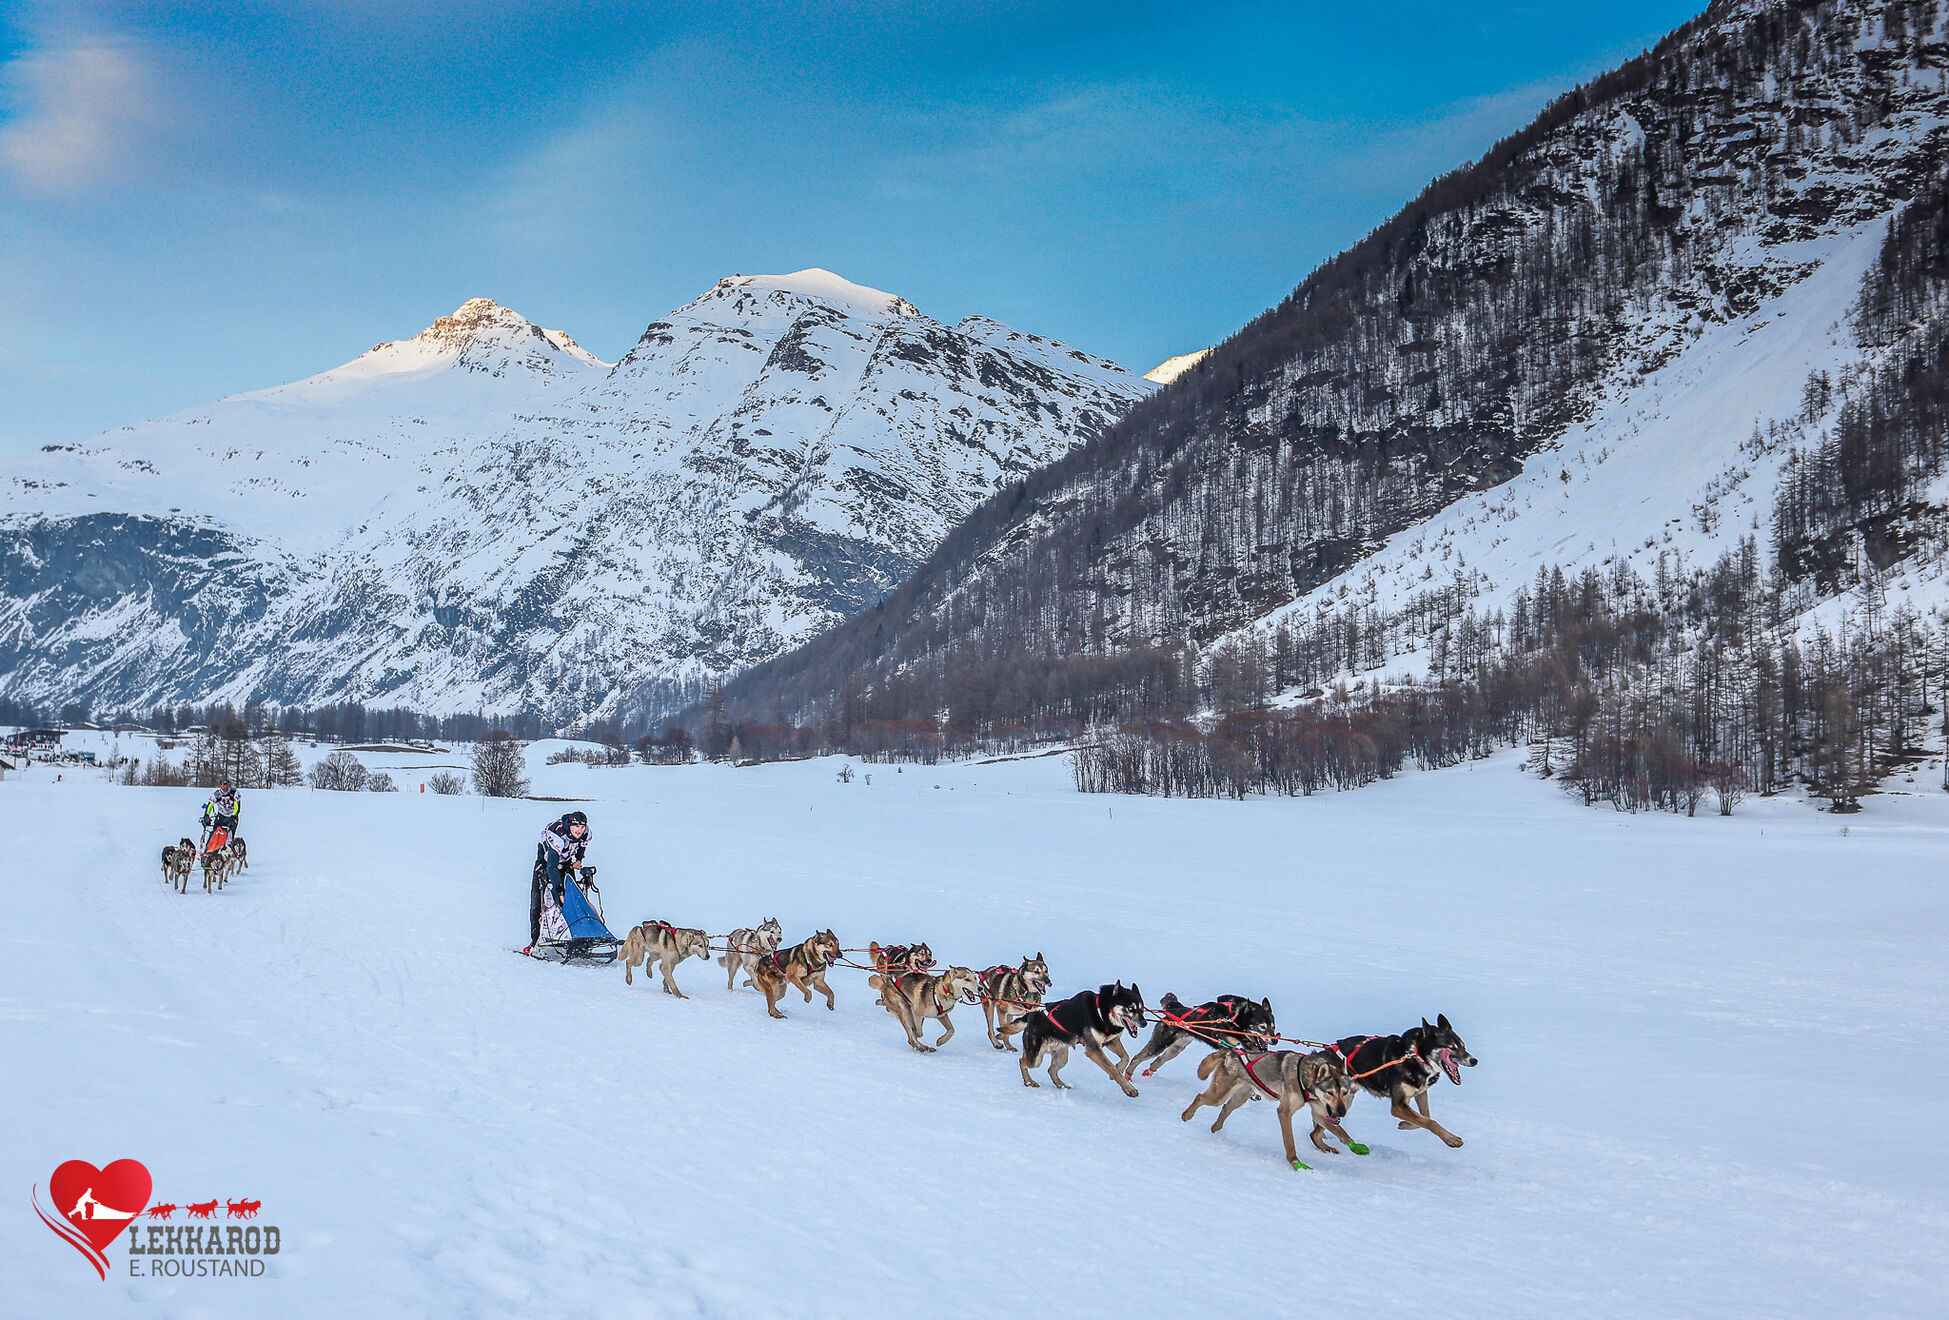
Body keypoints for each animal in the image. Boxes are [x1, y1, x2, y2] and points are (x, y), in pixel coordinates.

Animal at [1013, 982, 1146, 1099]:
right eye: (1130, 1008)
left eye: (1142, 1009)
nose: (1144, 1023)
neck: (1101, 1012)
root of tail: (1031, 1016)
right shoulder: (1094, 1050)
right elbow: (1112, 1068)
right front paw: (1129, 1088)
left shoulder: (1111, 1041)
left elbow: (1125, 1057)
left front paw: (1119, 1068)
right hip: (1035, 1059)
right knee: (1022, 1061)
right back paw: (1029, 1081)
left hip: (1062, 1058)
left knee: (1051, 1070)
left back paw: (1061, 1085)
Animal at [1130, 990, 1278, 1084]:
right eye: (1262, 1027)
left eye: (1273, 1026)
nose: (1275, 1041)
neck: (1235, 1018)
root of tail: (1176, 1007)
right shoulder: (1227, 1046)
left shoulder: (1248, 1044)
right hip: (1159, 1044)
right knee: (1137, 1058)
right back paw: (1128, 1076)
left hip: (1175, 1049)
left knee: (1158, 1061)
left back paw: (1148, 1072)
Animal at [1184, 1045, 1356, 1169]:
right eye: (1330, 1092)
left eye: (1345, 1092)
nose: (1342, 1112)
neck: (1305, 1077)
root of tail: (1231, 1052)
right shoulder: (1284, 1112)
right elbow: (1290, 1142)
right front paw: (1295, 1162)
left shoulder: (1319, 1114)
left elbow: (1342, 1133)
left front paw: (1356, 1147)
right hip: (1219, 1095)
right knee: (1200, 1097)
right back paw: (1186, 1116)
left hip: (1239, 1097)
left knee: (1225, 1108)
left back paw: (1215, 1129)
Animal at [1340, 1013, 1473, 1146]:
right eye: (1452, 1048)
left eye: (1463, 1046)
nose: (1474, 1060)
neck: (1415, 1056)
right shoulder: (1398, 1106)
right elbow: (1430, 1121)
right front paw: (1451, 1138)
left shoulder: (1419, 1094)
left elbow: (1425, 1116)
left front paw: (1405, 1124)